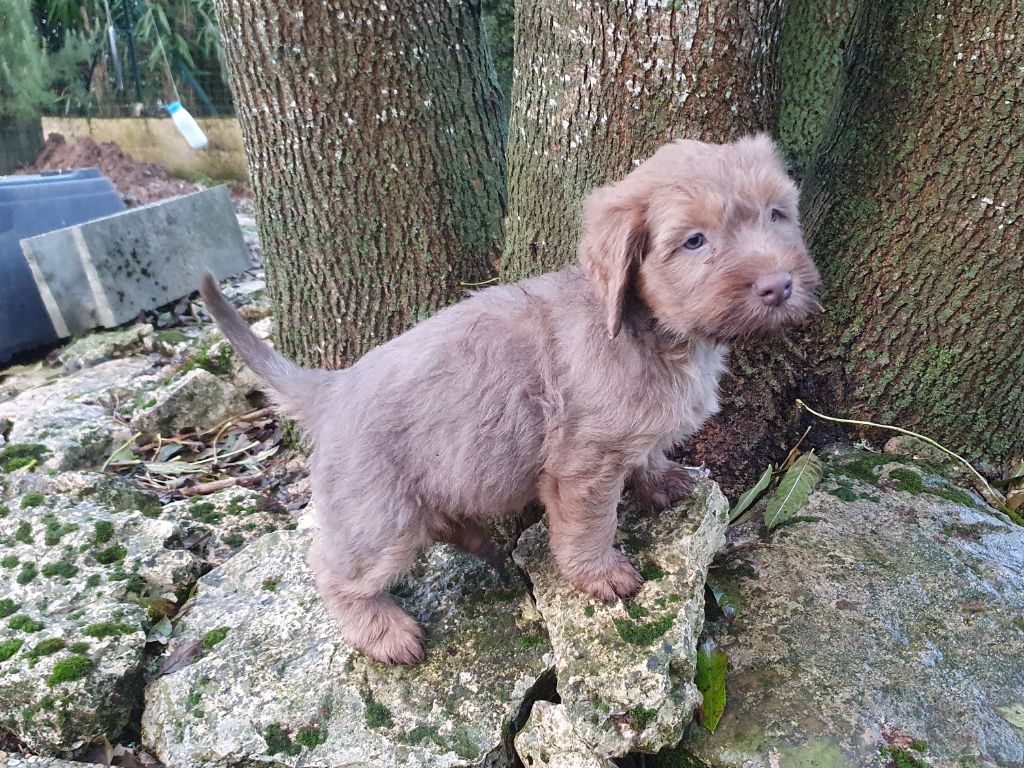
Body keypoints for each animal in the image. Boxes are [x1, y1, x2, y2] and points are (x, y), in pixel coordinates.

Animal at [201, 135, 823, 663]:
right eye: (694, 241)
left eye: (776, 214)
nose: (779, 285)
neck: (654, 336)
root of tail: (333, 386)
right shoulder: (583, 468)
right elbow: (589, 527)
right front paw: (599, 574)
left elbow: (646, 454)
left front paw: (660, 478)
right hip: (378, 520)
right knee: (334, 573)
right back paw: (380, 630)